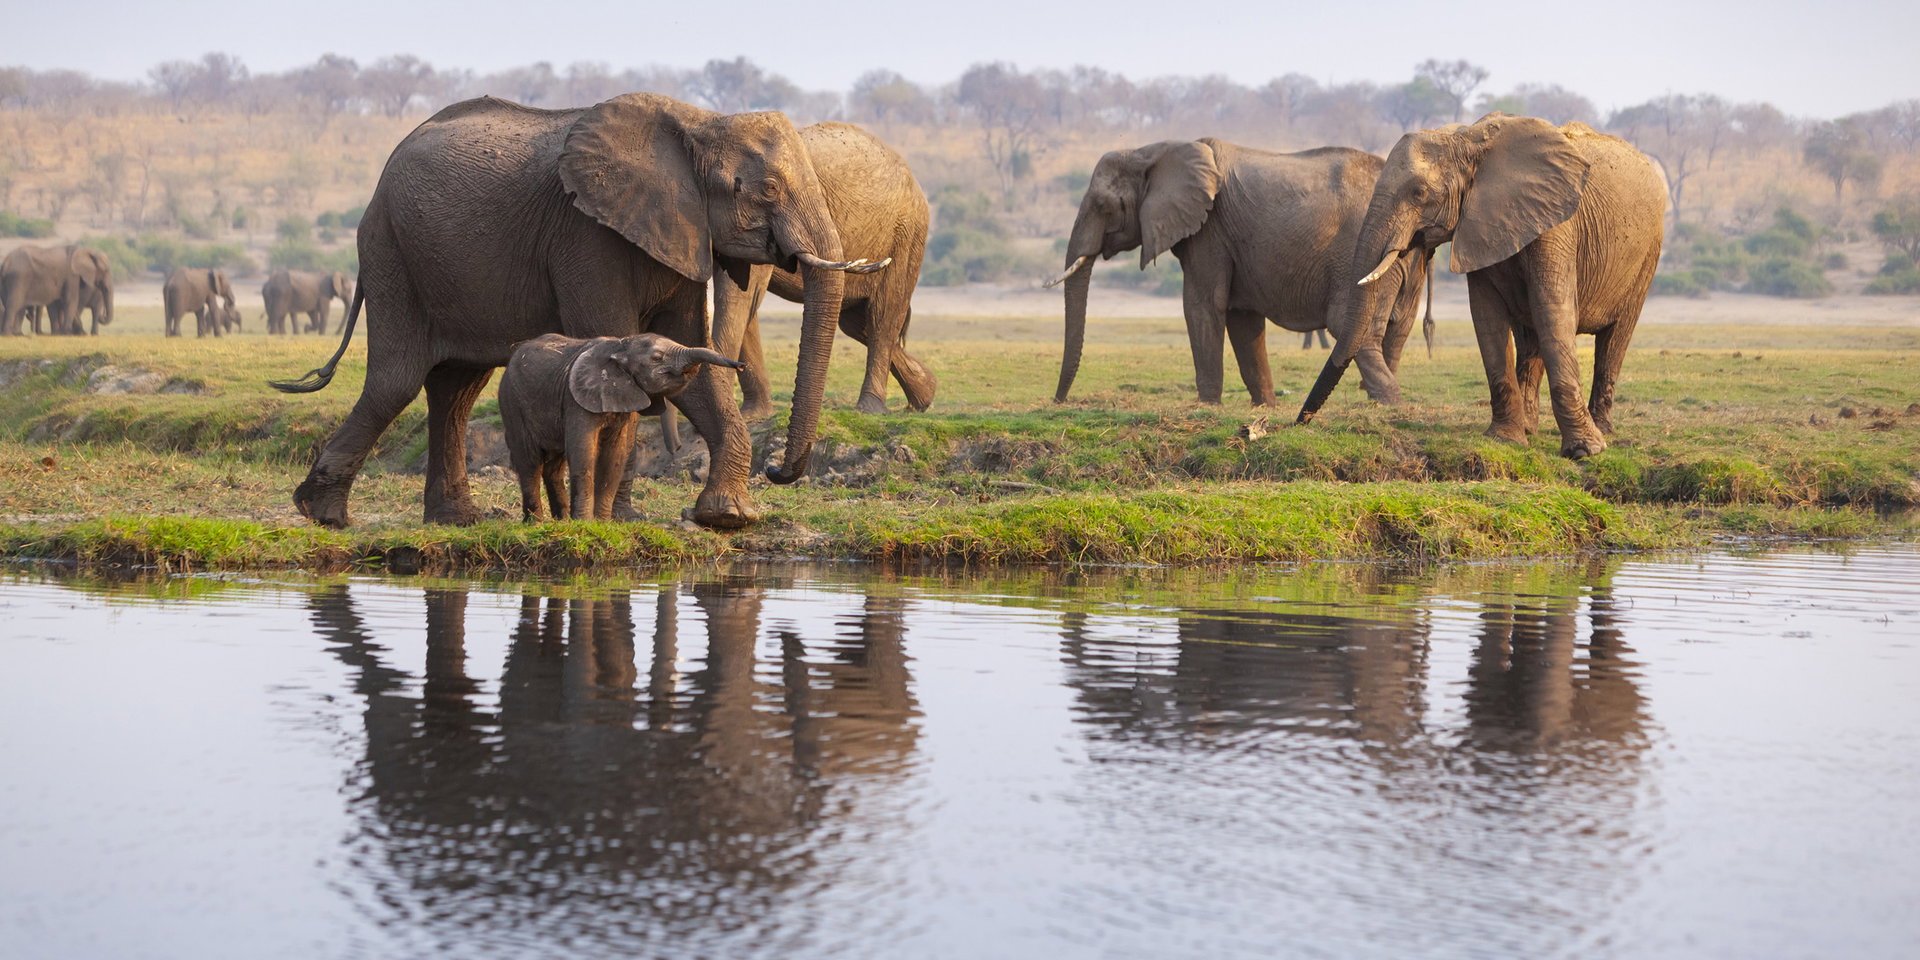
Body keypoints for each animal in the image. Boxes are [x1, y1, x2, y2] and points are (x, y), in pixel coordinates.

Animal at [500, 332, 742, 520]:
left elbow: (614, 456)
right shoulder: (575, 400)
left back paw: (562, 521)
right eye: (657, 358)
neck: (621, 345)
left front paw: (602, 523)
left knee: (554, 465)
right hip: (512, 403)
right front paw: (584, 524)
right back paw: (535, 523)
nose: (740, 365)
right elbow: (583, 453)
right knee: (530, 462)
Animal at [1046, 140, 1429, 406]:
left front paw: (1206, 407)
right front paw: (1266, 407)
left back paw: (1389, 403)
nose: (1059, 401)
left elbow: (1203, 305)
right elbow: (1241, 318)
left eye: (1102, 206)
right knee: (1397, 327)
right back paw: (1378, 401)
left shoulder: (1209, 231)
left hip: (1360, 257)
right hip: (1408, 258)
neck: (1153, 150)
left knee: (1349, 326)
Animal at [1296, 114, 1666, 459]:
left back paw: (1604, 430)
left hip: (1648, 253)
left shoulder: (1558, 226)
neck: (1469, 138)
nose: (1300, 422)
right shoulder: (1480, 224)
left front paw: (1585, 451)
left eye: (1419, 193)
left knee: (1614, 339)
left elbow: (1553, 311)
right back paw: (1530, 428)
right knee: (1530, 339)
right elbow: (1487, 318)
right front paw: (1505, 440)